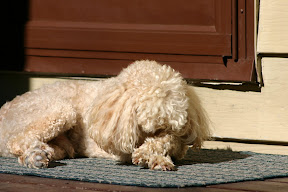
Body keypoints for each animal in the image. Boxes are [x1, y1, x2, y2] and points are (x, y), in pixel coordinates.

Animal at [0, 60, 209, 171]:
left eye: (170, 126)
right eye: (148, 127)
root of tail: (5, 108)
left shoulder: (179, 140)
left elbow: (170, 140)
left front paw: (156, 157)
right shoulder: (121, 145)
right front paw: (149, 155)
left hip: (64, 142)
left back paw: (38, 154)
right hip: (60, 110)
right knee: (16, 141)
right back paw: (34, 155)